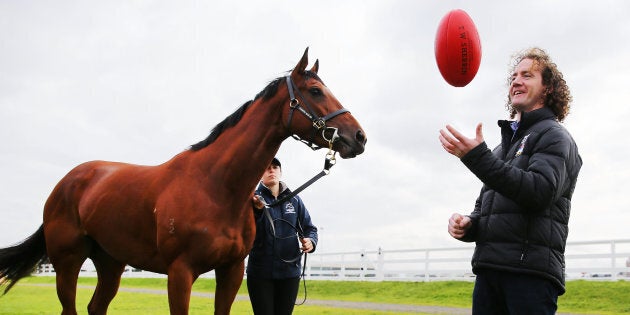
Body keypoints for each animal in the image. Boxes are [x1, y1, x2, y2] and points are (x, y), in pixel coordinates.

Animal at [0, 48, 368, 314]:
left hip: (111, 262)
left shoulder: (231, 271)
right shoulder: (180, 274)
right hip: (67, 261)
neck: (215, 186)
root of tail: (66, 183)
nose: (359, 137)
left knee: (96, 307)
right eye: (316, 91)